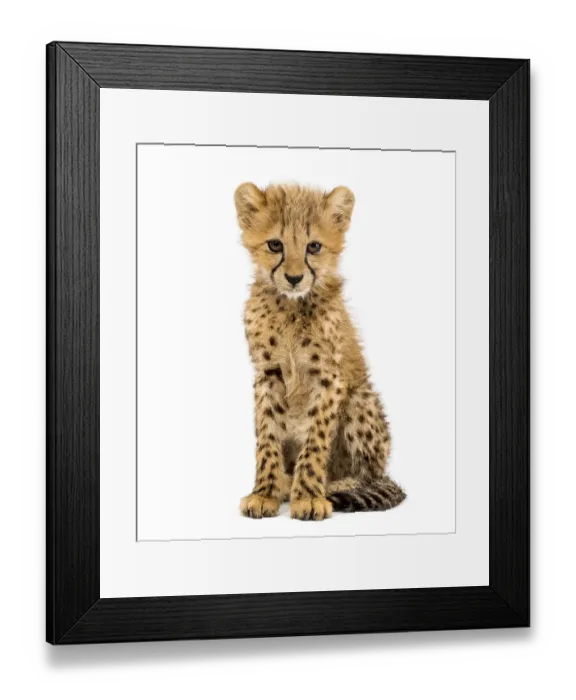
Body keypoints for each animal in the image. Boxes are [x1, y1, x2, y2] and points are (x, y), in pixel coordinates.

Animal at [235, 182, 406, 521]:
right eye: (275, 244)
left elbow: (315, 440)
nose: (294, 277)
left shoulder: (329, 378)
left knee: (373, 475)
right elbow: (267, 436)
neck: (290, 306)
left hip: (359, 399)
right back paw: (285, 483)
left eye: (313, 247)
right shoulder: (268, 374)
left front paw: (309, 496)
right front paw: (265, 492)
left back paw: (335, 486)